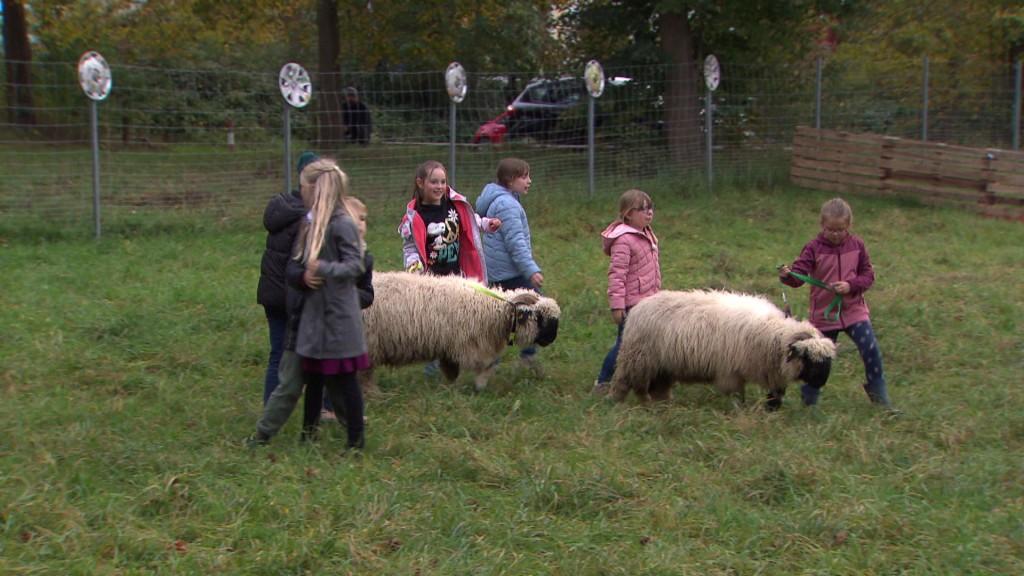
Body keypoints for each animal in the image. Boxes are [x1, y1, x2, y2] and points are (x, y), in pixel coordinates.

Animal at [354, 270, 561, 389]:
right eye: (540, 318)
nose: (552, 339)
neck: (492, 310)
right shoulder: (466, 346)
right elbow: (486, 365)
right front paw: (480, 385)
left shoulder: (448, 348)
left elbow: (452, 371)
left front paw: (452, 387)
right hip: (369, 345)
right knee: (364, 376)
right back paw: (373, 394)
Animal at [602, 286, 835, 407]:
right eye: (809, 360)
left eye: (827, 362)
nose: (821, 383)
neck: (771, 334)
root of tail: (637, 308)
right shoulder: (730, 372)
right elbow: (737, 396)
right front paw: (739, 410)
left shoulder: (770, 371)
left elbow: (775, 394)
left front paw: (771, 411)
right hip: (638, 358)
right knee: (628, 382)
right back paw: (619, 401)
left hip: (662, 364)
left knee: (658, 386)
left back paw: (663, 405)